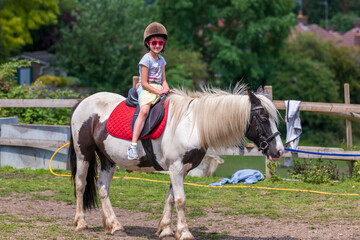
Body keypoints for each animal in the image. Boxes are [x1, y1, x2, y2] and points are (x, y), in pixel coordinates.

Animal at [69, 84, 284, 240]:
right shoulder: (176, 168)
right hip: (83, 154)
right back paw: (81, 224)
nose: (279, 151)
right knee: (80, 184)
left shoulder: (182, 170)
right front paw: (185, 232)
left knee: (102, 187)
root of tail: (83, 102)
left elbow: (171, 198)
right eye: (263, 117)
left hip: (108, 159)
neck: (193, 125)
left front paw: (165, 230)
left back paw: (114, 226)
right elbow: (181, 200)